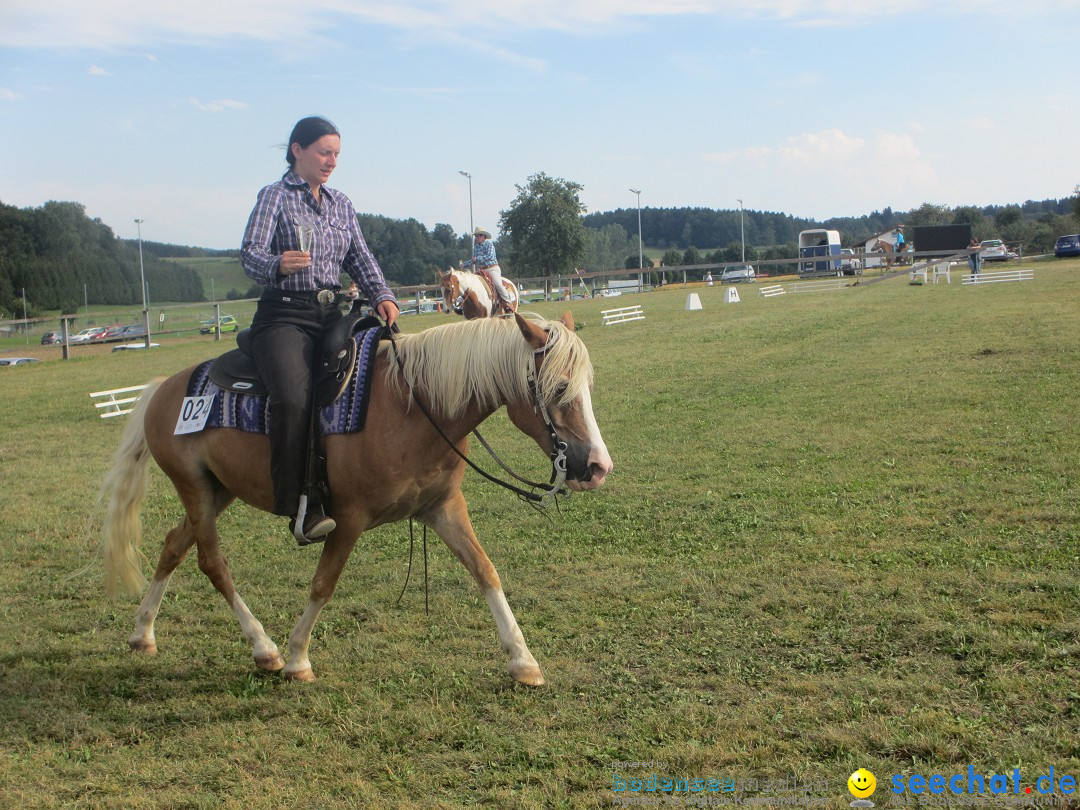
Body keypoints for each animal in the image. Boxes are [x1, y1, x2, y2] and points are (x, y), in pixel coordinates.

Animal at [104, 313, 613, 686]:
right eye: (560, 387)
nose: (599, 467)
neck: (412, 409)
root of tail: (163, 389)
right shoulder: (346, 520)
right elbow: (323, 584)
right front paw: (297, 658)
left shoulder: (443, 509)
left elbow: (485, 570)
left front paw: (522, 660)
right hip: (194, 489)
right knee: (213, 562)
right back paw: (264, 648)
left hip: (216, 491)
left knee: (174, 545)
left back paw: (142, 633)